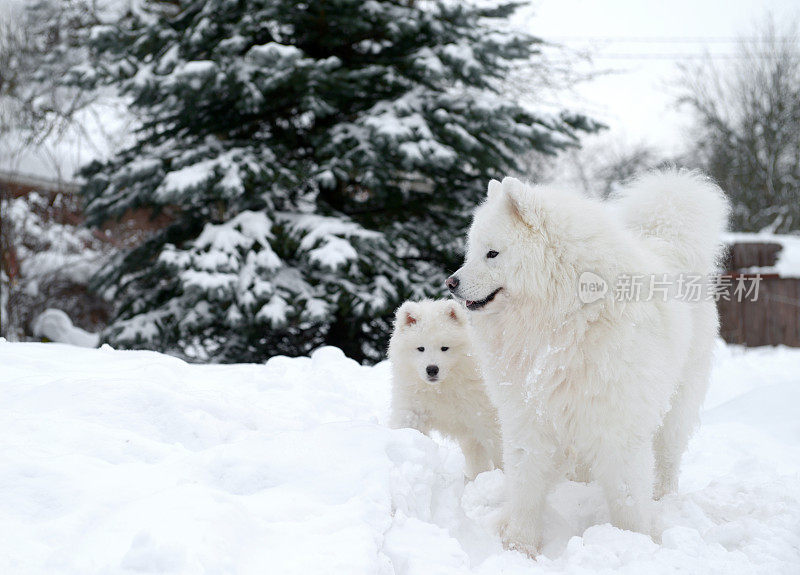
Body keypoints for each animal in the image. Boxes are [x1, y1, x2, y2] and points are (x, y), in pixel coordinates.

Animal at [386, 300, 500, 480]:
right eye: (421, 348)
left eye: (444, 348)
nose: (432, 369)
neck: (440, 389)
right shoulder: (412, 407)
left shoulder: (485, 416)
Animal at [446, 170, 728, 552]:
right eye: (472, 251)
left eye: (492, 253)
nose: (451, 282)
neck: (562, 319)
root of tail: (666, 240)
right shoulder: (529, 417)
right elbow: (525, 487)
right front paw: (519, 545)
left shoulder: (619, 425)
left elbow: (627, 497)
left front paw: (634, 542)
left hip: (677, 405)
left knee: (668, 458)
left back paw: (663, 499)